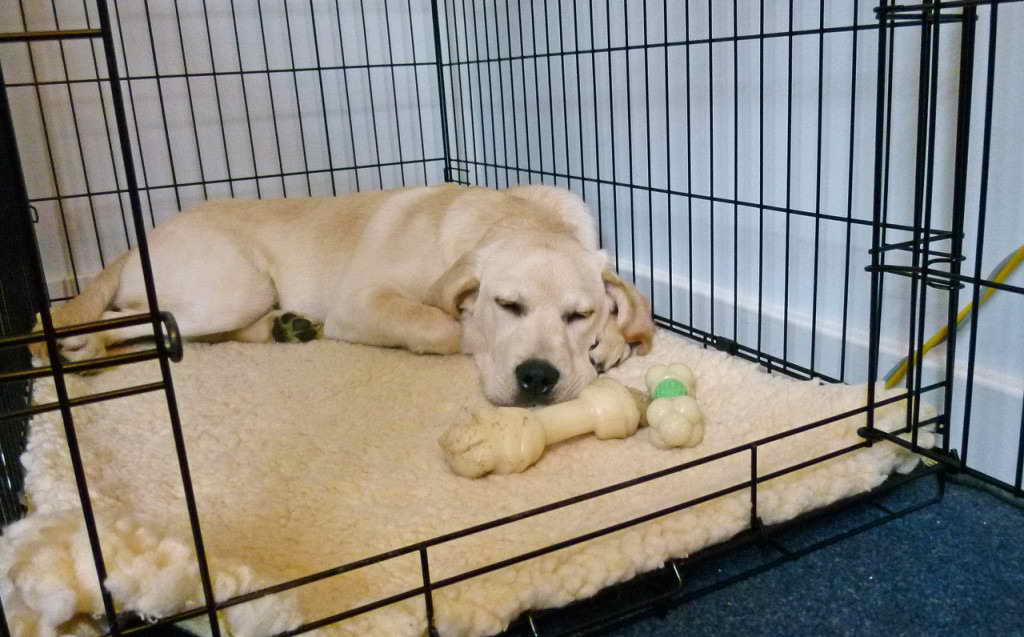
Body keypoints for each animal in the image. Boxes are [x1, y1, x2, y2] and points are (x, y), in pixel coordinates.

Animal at [36, 184, 655, 407]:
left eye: (578, 314)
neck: (515, 217)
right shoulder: (359, 304)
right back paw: (85, 349)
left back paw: (284, 327)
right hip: (233, 285)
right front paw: (464, 334)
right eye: (508, 306)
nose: (538, 378)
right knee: (137, 317)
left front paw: (610, 342)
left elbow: (624, 316)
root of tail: (137, 240)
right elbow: (439, 323)